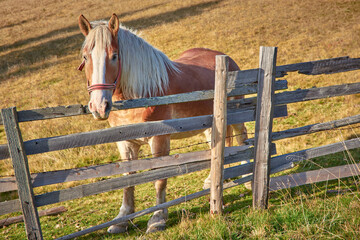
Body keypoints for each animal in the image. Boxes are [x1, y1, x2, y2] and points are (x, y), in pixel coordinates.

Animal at [78, 13, 248, 234]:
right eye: (85, 57)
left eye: (114, 55)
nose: (99, 106)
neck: (143, 94)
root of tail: (224, 57)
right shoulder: (125, 143)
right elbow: (127, 179)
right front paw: (122, 219)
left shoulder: (159, 141)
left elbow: (159, 179)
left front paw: (158, 218)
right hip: (211, 125)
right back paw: (213, 180)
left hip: (238, 113)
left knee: (242, 137)